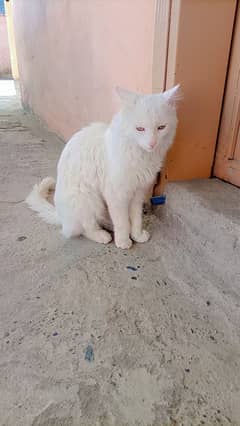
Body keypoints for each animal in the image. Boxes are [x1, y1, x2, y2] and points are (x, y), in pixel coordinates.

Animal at [25, 84, 181, 248]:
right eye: (140, 129)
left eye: (161, 127)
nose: (152, 144)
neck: (141, 155)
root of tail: (61, 217)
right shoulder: (116, 194)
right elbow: (122, 222)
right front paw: (123, 241)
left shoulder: (138, 193)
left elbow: (136, 219)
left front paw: (137, 235)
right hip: (87, 199)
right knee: (83, 229)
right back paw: (102, 235)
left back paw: (109, 225)